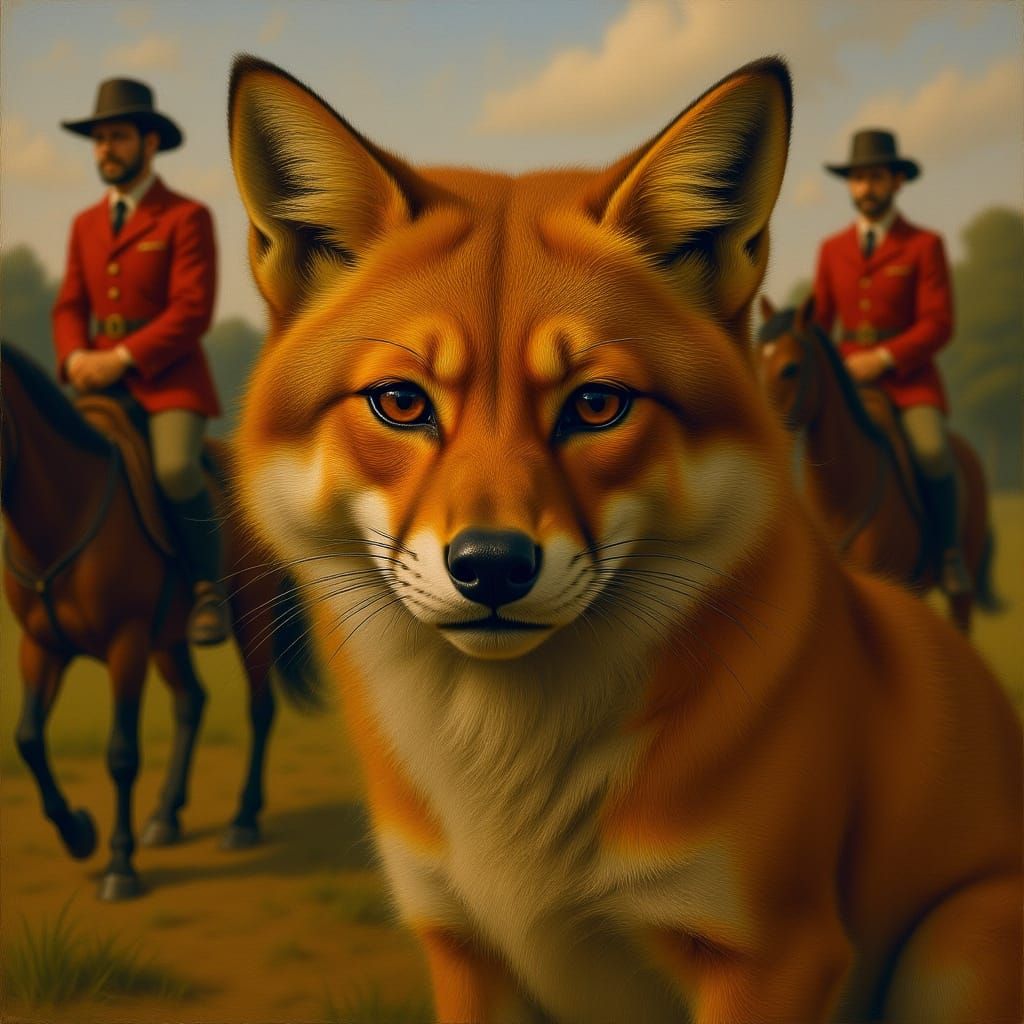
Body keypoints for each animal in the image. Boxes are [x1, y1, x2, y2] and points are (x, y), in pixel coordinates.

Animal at [227, 54, 1022, 1023]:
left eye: (597, 405)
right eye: (402, 403)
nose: (491, 566)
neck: (510, 800)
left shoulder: (776, 955)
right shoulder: (461, 946)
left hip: (957, 947)